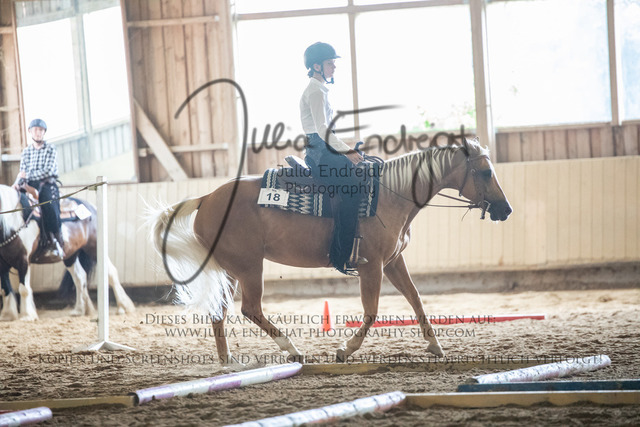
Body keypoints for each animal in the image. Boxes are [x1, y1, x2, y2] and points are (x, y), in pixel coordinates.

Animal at [0, 185, 135, 321]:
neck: (14, 221)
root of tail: (92, 207)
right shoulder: (3, 265)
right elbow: (5, 289)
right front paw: (7, 315)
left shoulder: (23, 261)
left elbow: (24, 289)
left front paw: (27, 315)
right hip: (71, 255)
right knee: (80, 277)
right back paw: (79, 310)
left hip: (94, 248)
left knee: (111, 273)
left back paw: (123, 307)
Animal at [149, 138, 512, 365]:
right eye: (485, 172)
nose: (505, 210)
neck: (389, 196)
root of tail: (206, 198)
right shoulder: (372, 266)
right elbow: (371, 311)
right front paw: (345, 350)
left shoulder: (393, 262)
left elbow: (416, 299)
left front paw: (435, 345)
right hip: (249, 267)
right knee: (250, 308)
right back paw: (292, 350)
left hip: (230, 270)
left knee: (219, 312)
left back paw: (228, 361)